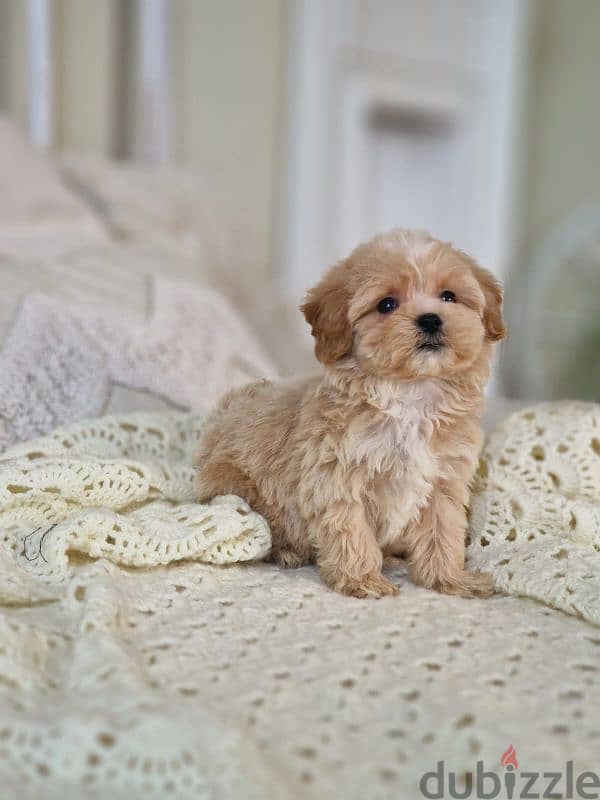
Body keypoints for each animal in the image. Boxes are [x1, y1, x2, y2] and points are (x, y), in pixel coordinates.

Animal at [195, 228, 504, 596]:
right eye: (386, 304)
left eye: (448, 296)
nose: (430, 319)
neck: (409, 395)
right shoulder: (337, 478)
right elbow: (351, 531)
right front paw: (363, 580)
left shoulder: (444, 481)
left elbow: (442, 532)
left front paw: (450, 579)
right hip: (237, 488)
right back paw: (288, 552)